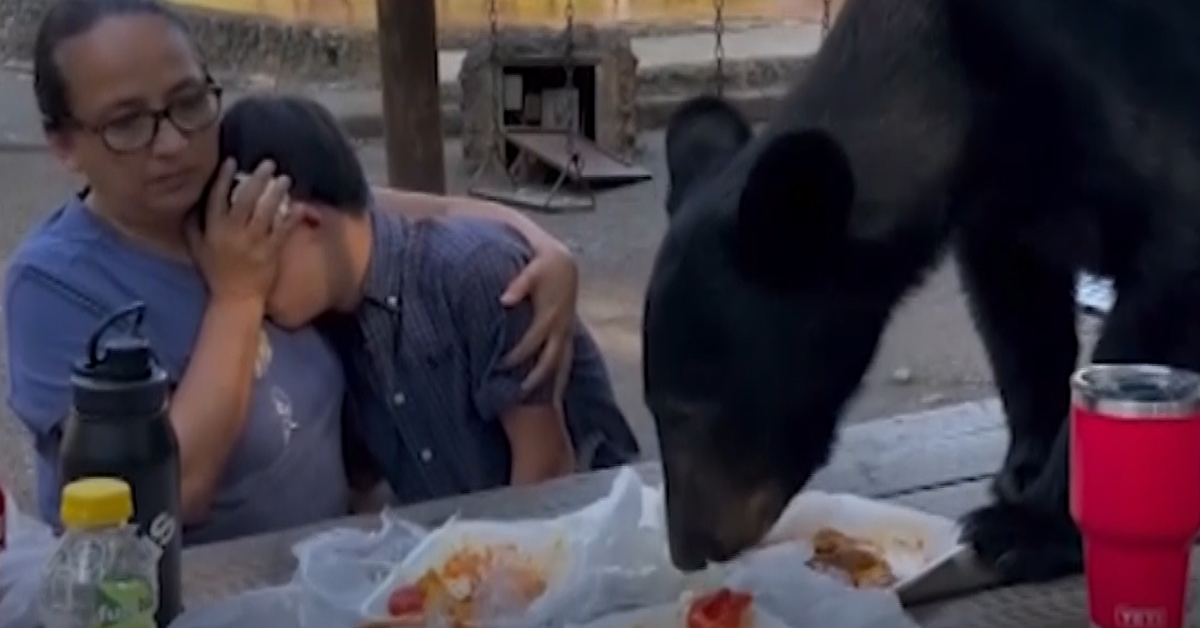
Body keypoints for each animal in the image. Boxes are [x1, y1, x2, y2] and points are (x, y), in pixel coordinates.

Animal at [648, 0, 1200, 585]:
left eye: (691, 410)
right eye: (655, 406)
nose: (689, 549)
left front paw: (1026, 529)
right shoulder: (1006, 215)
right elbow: (1020, 317)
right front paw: (1022, 469)